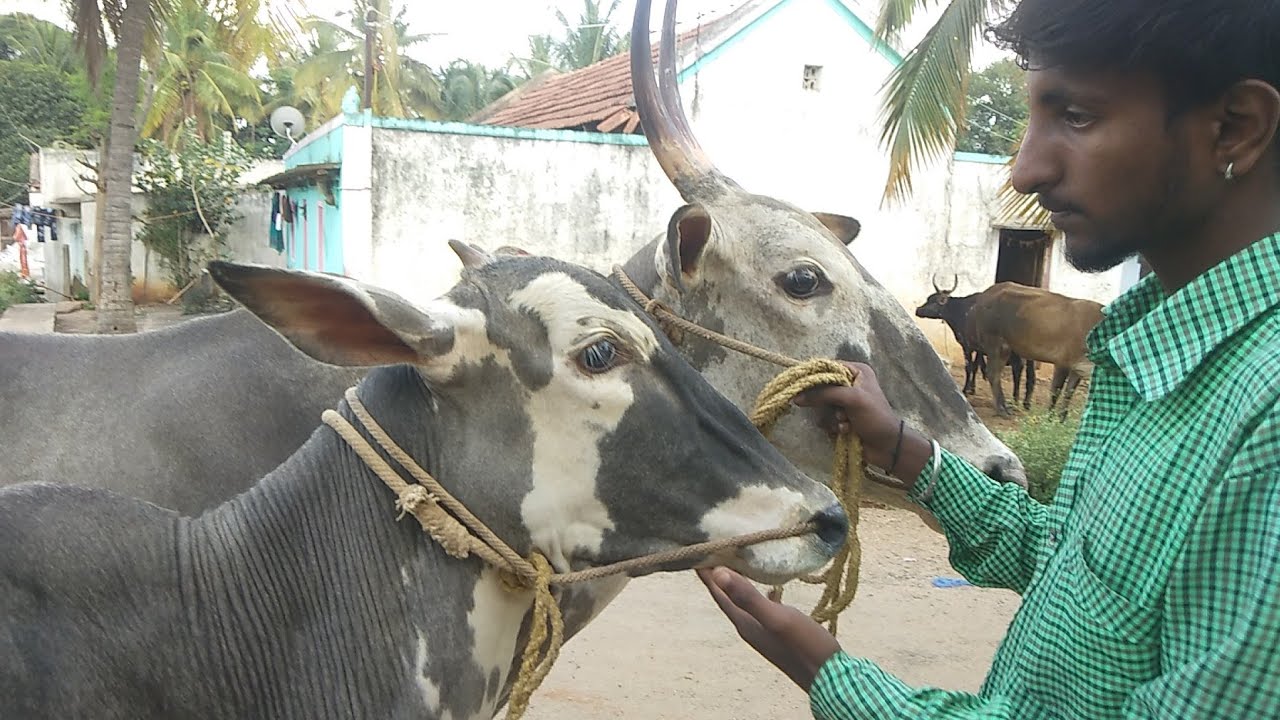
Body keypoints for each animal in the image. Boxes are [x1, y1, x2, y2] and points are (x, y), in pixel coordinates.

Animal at [915, 274, 1035, 408]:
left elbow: (969, 367)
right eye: (928, 299)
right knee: (1029, 373)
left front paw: (965, 390)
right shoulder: (978, 348)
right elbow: (976, 365)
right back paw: (1025, 401)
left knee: (1018, 368)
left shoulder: (967, 346)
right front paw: (972, 388)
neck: (962, 311)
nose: (918, 310)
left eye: (935, 301)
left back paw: (1016, 399)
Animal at [968, 281, 1105, 418]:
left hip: (1005, 348)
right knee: (992, 374)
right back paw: (1001, 410)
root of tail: (984, 295)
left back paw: (1004, 408)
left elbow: (1068, 394)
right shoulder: (1063, 362)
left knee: (995, 374)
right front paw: (1049, 418)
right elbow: (1056, 392)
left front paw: (1062, 419)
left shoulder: (1078, 368)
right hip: (995, 344)